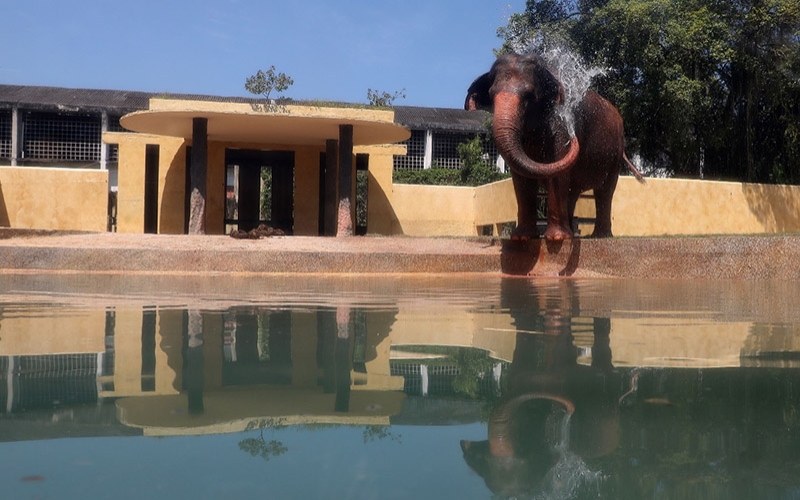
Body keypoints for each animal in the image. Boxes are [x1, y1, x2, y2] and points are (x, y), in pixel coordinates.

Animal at [462, 52, 644, 240]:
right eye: (491, 96)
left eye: (529, 96)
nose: (574, 136)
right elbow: (521, 179)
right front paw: (522, 237)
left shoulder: (560, 124)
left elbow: (558, 173)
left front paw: (557, 239)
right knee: (573, 192)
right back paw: (573, 233)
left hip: (615, 151)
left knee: (605, 191)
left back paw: (599, 236)